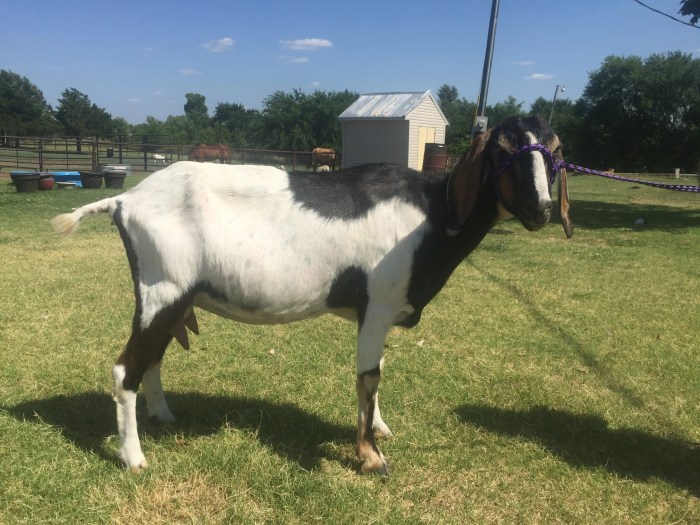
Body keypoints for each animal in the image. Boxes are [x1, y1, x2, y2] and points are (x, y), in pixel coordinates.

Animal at [52, 115, 572, 474]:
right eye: (501, 149)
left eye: (553, 152)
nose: (541, 209)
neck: (434, 211)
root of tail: (124, 199)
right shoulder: (378, 303)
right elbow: (368, 377)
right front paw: (371, 457)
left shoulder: (373, 313)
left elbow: (379, 371)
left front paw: (379, 428)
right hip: (163, 288)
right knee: (126, 369)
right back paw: (134, 458)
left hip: (170, 297)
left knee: (153, 359)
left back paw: (163, 416)